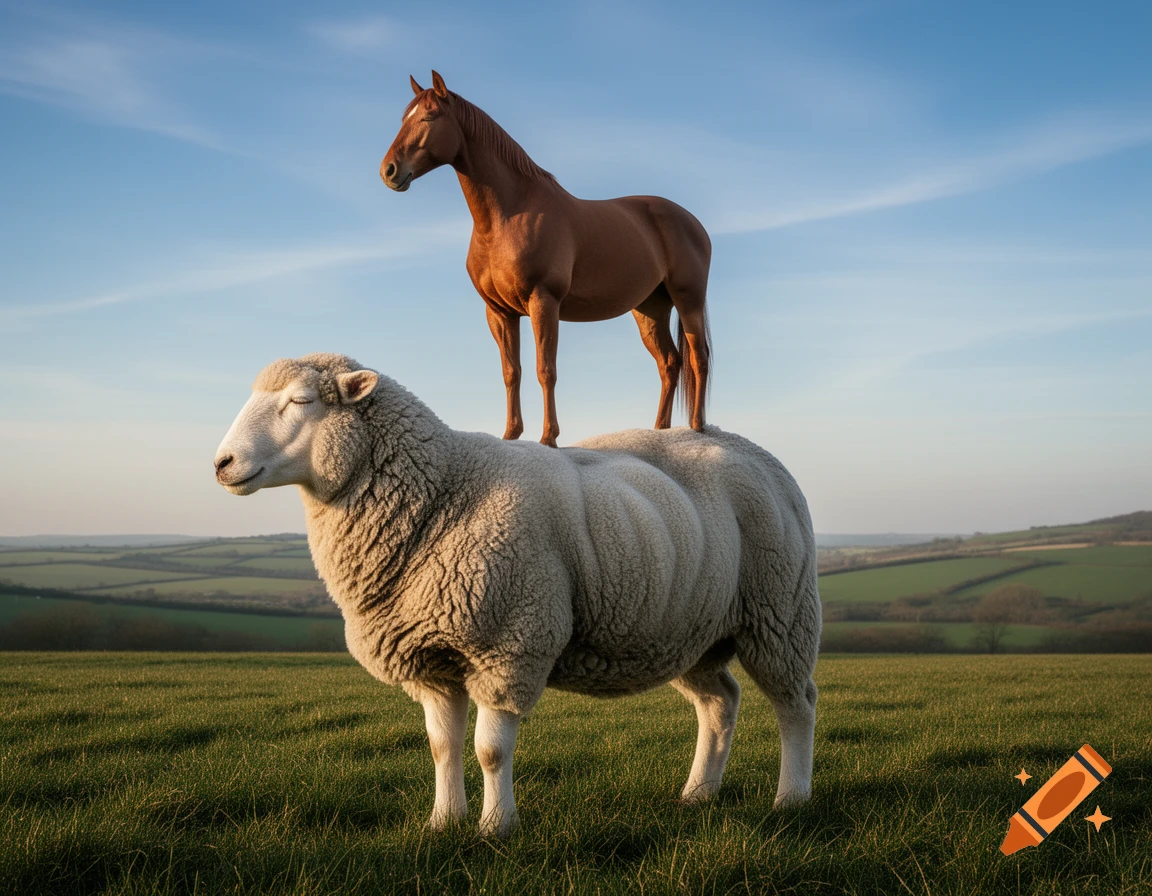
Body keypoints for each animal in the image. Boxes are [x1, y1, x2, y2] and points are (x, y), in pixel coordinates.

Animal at [214, 353, 821, 836]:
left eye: (301, 400)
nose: (221, 464)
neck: (442, 493)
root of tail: (746, 446)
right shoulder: (431, 659)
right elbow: (441, 747)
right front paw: (443, 823)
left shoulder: (508, 645)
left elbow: (490, 750)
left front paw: (495, 828)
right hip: (687, 628)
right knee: (720, 702)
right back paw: (698, 795)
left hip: (780, 611)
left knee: (796, 703)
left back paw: (791, 799)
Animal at [381, 70, 712, 448]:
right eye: (404, 119)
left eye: (429, 117)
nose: (389, 171)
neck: (507, 216)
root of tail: (693, 222)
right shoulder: (499, 312)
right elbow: (511, 371)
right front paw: (511, 435)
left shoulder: (544, 301)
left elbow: (545, 369)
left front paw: (548, 438)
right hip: (650, 309)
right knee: (670, 363)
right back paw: (660, 432)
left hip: (688, 300)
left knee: (698, 358)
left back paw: (698, 428)